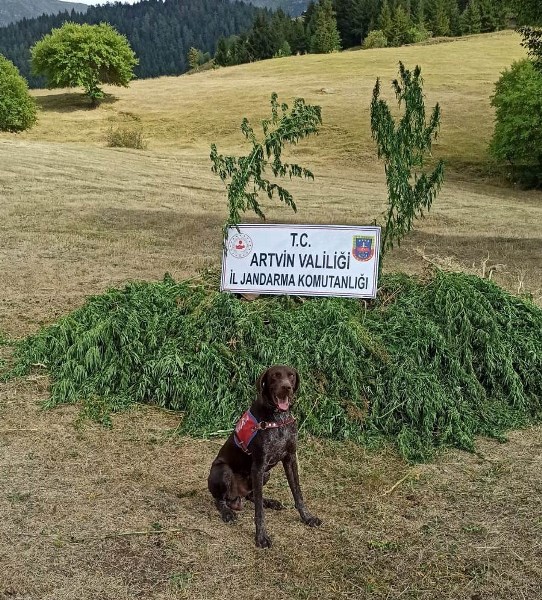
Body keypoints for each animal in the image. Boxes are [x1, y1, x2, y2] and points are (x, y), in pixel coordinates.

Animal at [207, 366, 318, 548]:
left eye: (291, 376)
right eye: (275, 376)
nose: (286, 387)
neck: (278, 418)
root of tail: (236, 497)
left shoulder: (290, 459)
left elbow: (297, 493)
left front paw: (307, 517)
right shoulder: (258, 466)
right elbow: (259, 511)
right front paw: (261, 537)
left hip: (266, 473)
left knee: (251, 495)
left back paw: (270, 502)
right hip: (223, 471)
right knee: (219, 500)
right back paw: (227, 513)